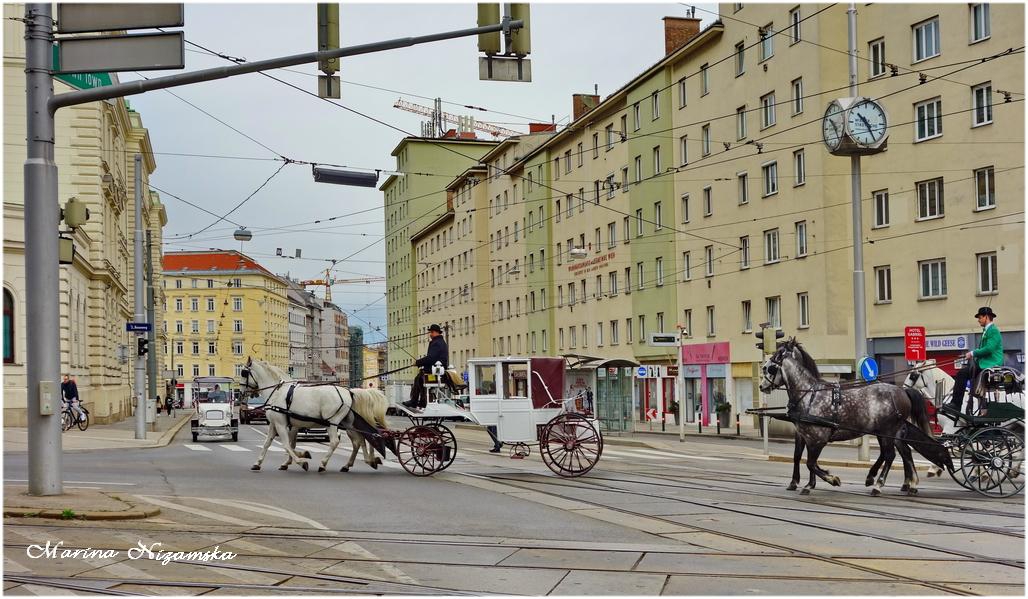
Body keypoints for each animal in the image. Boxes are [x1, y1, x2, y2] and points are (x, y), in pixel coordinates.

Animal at [242, 359, 386, 476]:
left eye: (243, 373)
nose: (242, 392)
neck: (278, 392)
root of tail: (348, 391)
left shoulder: (281, 424)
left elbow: (287, 445)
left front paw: (301, 462)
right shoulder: (276, 424)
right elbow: (269, 443)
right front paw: (258, 463)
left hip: (332, 423)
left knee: (335, 442)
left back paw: (323, 464)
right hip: (348, 424)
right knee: (359, 441)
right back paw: (356, 463)